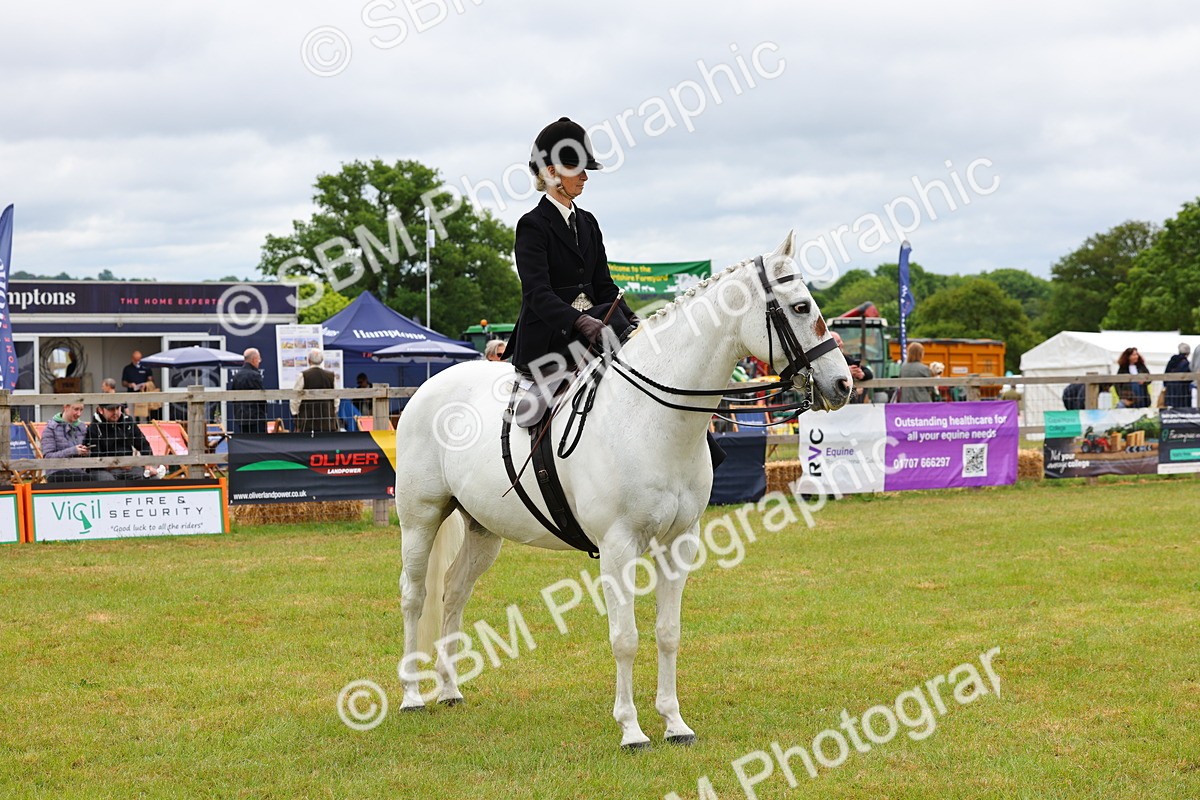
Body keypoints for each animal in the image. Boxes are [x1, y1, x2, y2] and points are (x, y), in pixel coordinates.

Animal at [394, 232, 853, 749]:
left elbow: (668, 632)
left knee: (453, 593)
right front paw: (632, 729)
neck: (651, 417)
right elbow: (625, 638)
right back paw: (412, 695)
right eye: (800, 306)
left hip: (482, 529)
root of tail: (429, 387)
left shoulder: (679, 543)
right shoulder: (617, 547)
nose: (843, 384)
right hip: (420, 519)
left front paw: (674, 723)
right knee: (414, 596)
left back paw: (450, 689)